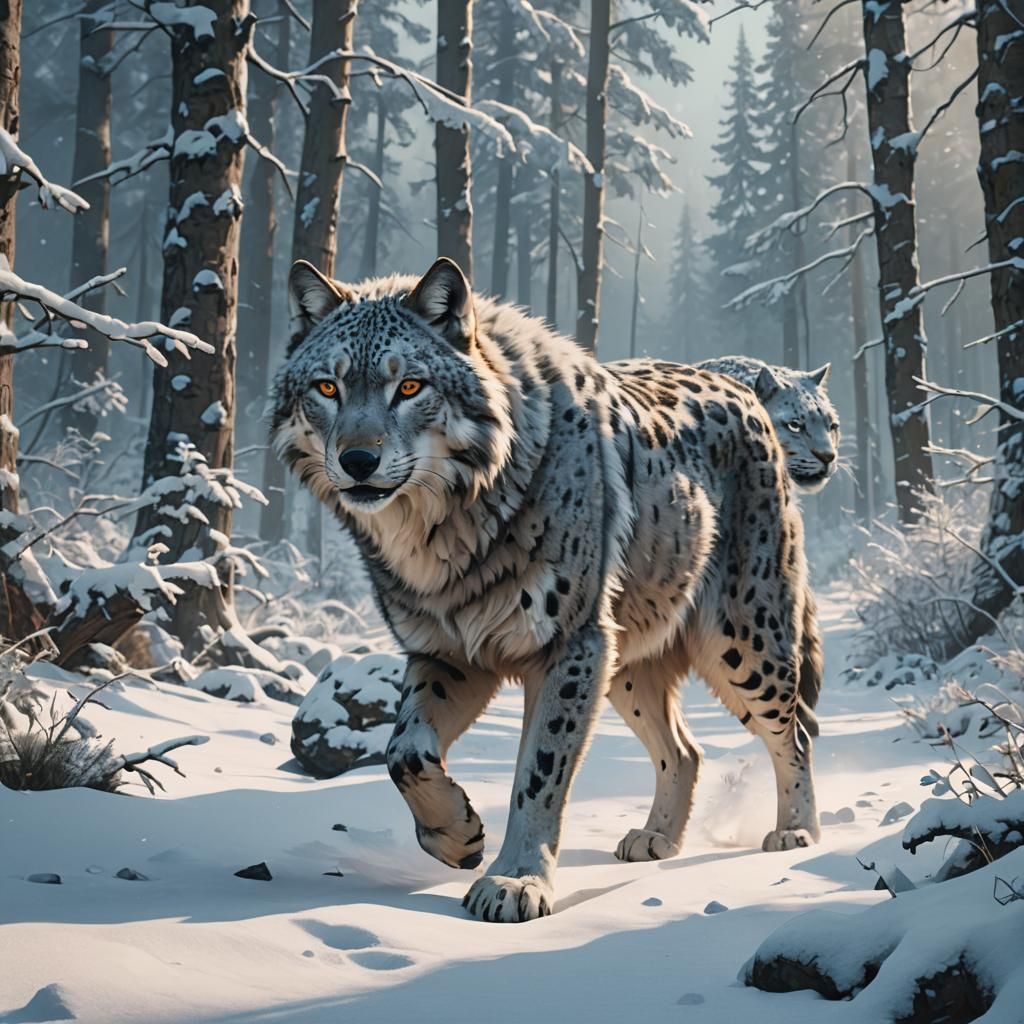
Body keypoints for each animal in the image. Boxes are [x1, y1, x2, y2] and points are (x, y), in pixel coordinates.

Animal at [271, 257, 824, 923]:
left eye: (409, 388)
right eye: (328, 388)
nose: (357, 460)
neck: (444, 536)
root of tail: (742, 389)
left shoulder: (567, 646)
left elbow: (538, 774)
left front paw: (514, 883)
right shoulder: (446, 652)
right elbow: (404, 751)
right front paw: (456, 837)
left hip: (741, 647)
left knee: (794, 732)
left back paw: (796, 834)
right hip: (626, 665)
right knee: (686, 749)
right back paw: (655, 839)